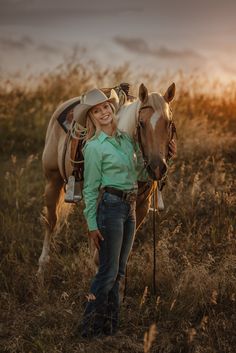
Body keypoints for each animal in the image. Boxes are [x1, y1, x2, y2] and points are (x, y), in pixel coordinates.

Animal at [37, 82, 175, 280]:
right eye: (141, 124)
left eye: (169, 123)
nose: (157, 167)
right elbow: (100, 255)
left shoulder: (141, 207)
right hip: (52, 181)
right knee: (50, 222)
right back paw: (42, 267)